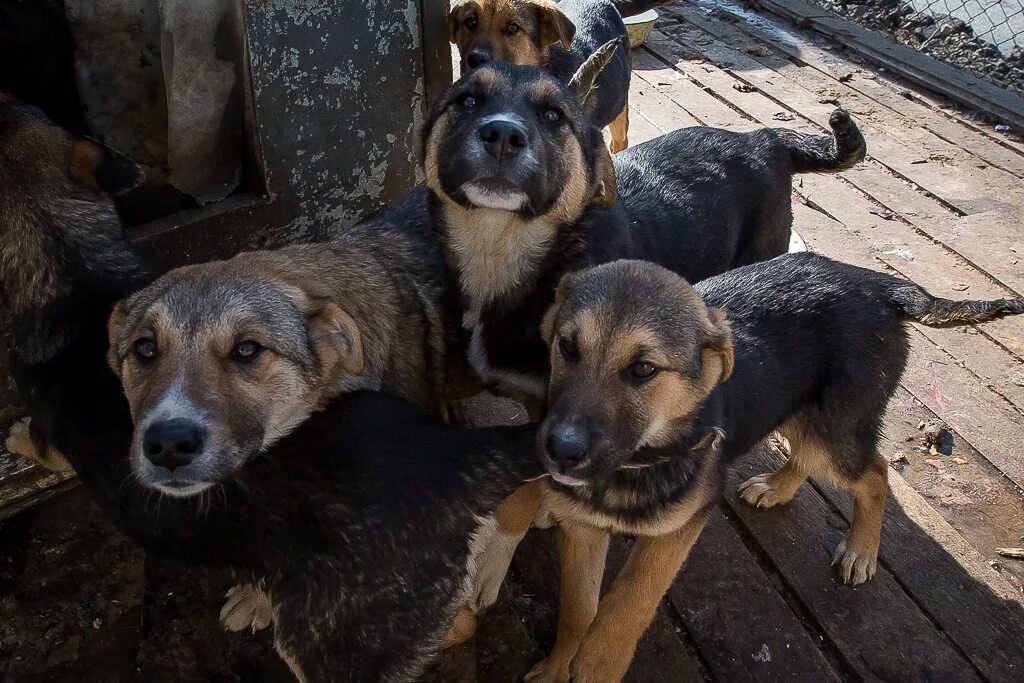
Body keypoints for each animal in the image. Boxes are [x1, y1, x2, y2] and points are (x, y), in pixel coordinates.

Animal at [0, 93, 544, 679]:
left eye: (247, 350)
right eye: (144, 349)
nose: (167, 443)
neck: (64, 258)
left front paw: (16, 436)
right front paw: (256, 596)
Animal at [512, 253, 1024, 679]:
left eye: (643, 370)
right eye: (567, 347)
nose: (560, 450)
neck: (638, 461)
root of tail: (875, 283)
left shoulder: (678, 532)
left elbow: (626, 608)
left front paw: (596, 666)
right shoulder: (581, 528)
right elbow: (578, 610)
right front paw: (558, 668)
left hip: (832, 431)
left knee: (876, 473)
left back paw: (861, 549)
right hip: (795, 406)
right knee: (811, 455)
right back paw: (779, 487)